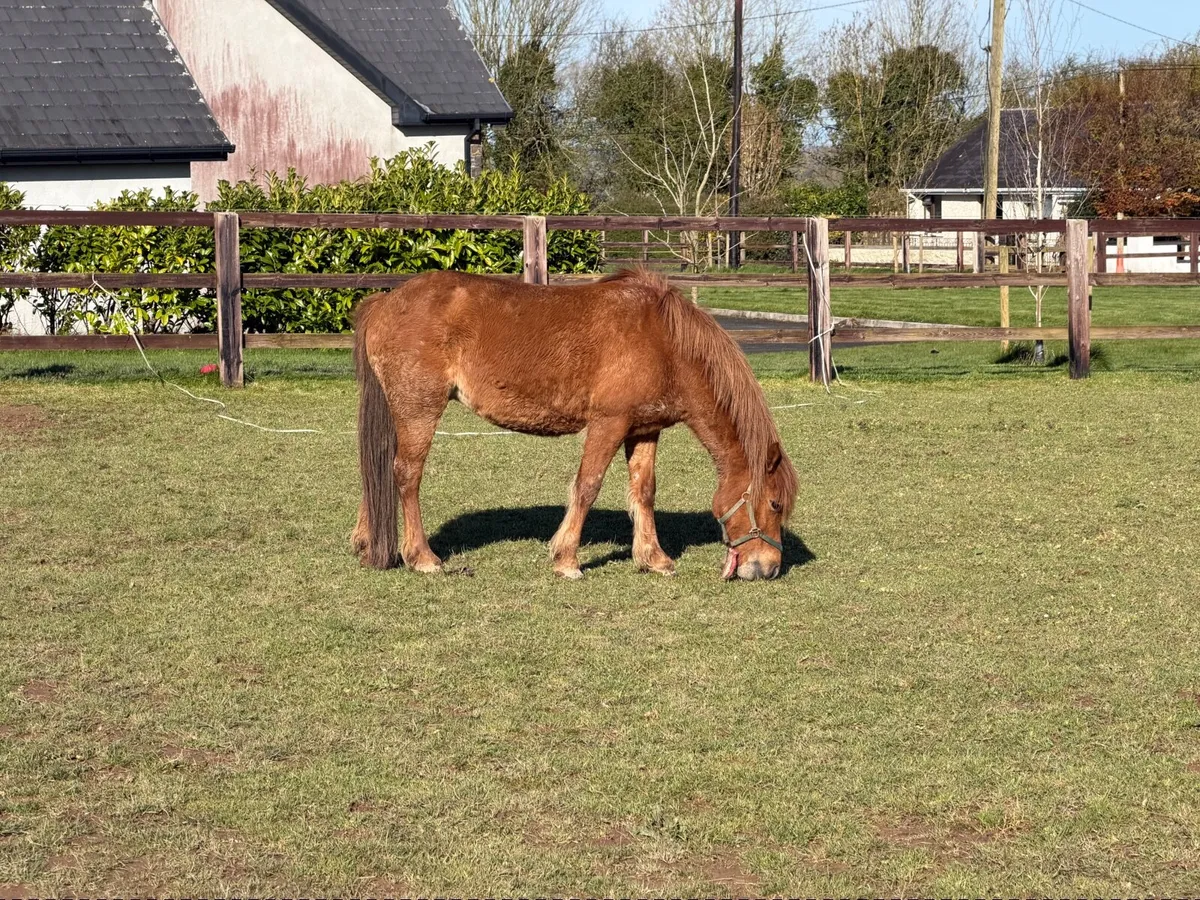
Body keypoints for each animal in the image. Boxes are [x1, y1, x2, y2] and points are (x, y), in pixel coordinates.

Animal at [350, 268, 798, 581]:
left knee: (378, 469)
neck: (664, 341)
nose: (770, 568)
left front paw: (653, 558)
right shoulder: (608, 423)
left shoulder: (644, 429)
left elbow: (644, 491)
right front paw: (566, 559)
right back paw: (422, 557)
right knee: (406, 474)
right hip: (419, 410)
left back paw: (368, 542)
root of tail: (385, 303)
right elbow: (587, 486)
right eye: (775, 504)